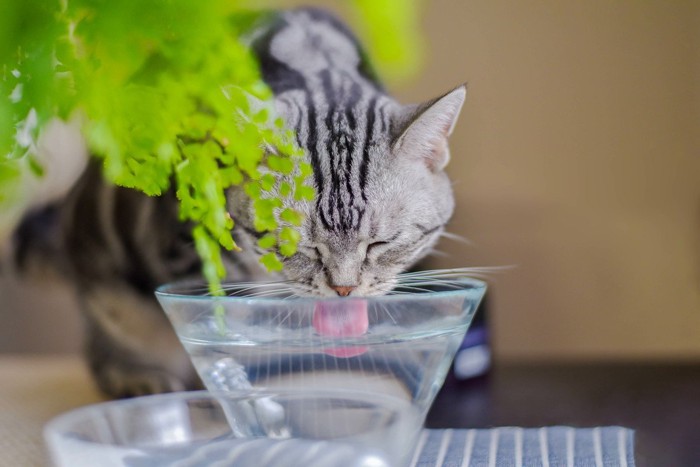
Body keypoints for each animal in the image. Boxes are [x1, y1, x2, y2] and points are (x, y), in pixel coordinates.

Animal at [10, 7, 464, 398]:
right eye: (299, 246)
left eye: (381, 243)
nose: (344, 290)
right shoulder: (190, 253)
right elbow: (221, 328)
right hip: (113, 299)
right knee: (103, 350)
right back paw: (139, 378)